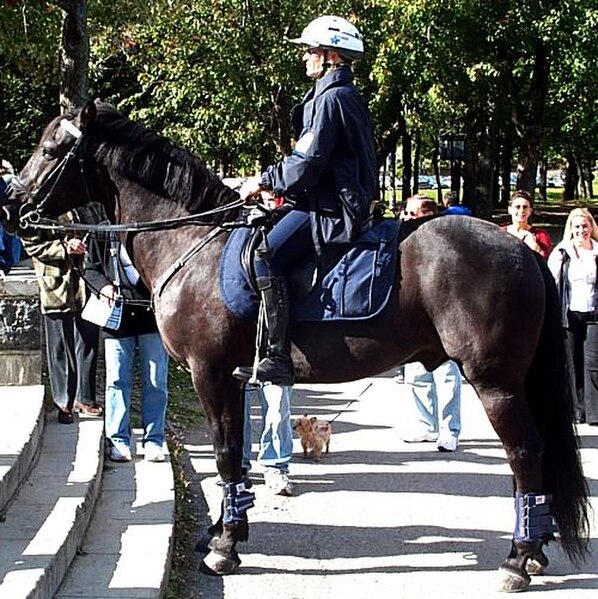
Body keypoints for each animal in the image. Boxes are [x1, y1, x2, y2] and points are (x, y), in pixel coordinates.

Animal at [4, 101, 592, 592]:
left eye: (52, 149)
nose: (11, 205)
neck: (193, 244)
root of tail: (520, 248)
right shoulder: (234, 379)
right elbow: (236, 455)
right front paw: (224, 529)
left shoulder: (210, 373)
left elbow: (224, 454)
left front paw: (224, 546)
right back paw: (533, 549)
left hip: (495, 383)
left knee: (525, 453)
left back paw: (519, 559)